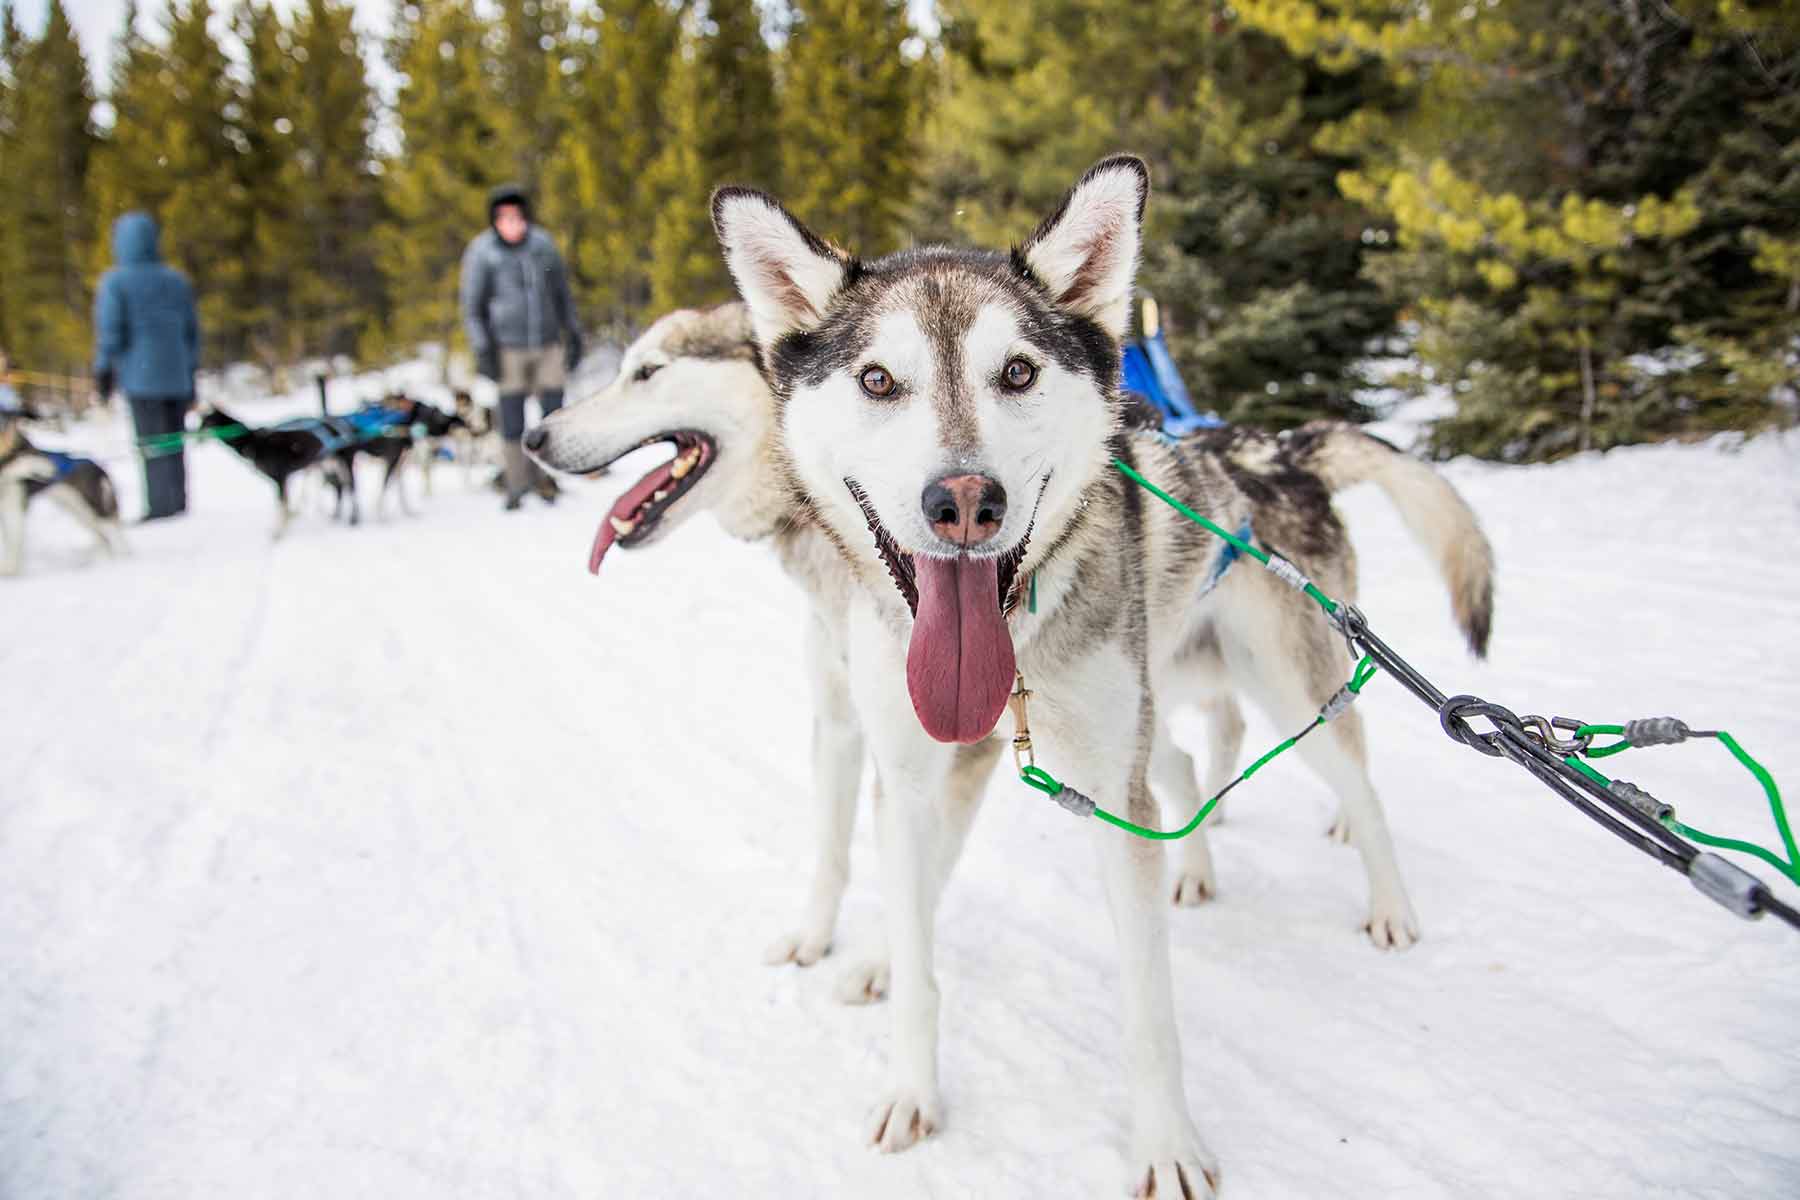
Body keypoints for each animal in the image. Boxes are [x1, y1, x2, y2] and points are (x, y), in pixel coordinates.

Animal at [709, 154, 1497, 1194]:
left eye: (1017, 372)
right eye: (878, 379)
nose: (965, 501)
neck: (1012, 651)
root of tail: (1279, 448)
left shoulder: (1109, 803)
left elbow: (1148, 1011)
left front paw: (1167, 1147)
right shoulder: (916, 785)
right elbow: (918, 958)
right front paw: (911, 1090)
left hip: (1280, 684)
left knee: (1355, 785)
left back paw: (1390, 905)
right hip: (1161, 704)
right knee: (1190, 767)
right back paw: (1197, 868)